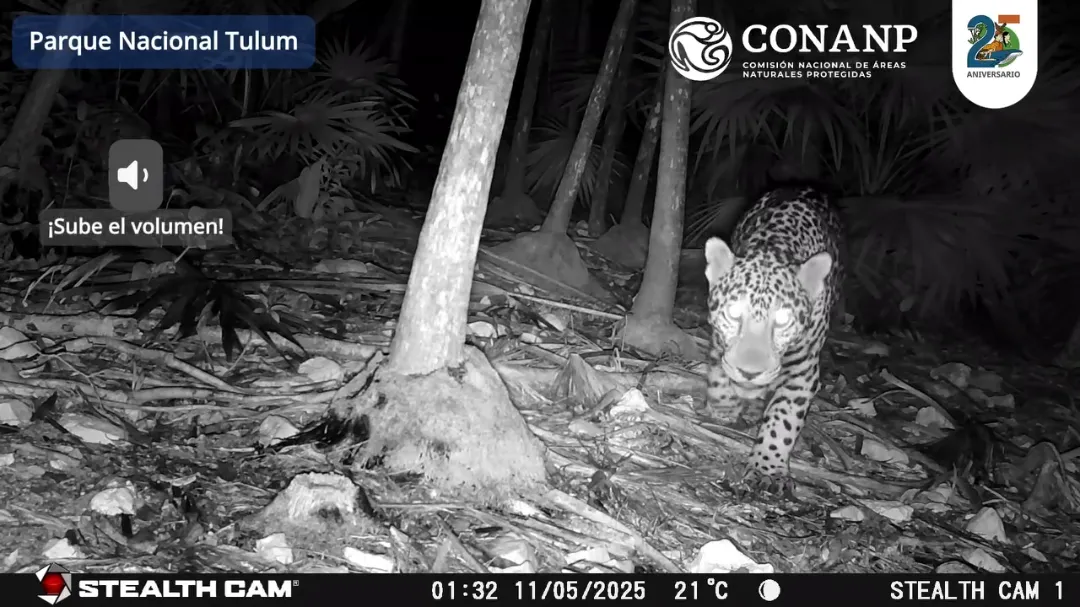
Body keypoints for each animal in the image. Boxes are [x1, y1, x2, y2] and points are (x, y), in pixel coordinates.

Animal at [703, 185, 844, 483]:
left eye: (782, 320)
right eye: (734, 312)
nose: (749, 372)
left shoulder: (803, 369)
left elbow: (784, 418)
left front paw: (766, 468)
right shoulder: (718, 340)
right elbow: (718, 371)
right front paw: (723, 410)